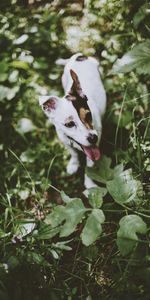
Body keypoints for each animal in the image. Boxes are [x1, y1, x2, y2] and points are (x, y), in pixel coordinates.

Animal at [38, 51, 106, 188]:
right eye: (69, 124)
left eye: (89, 115)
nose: (93, 138)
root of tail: (80, 55)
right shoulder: (64, 140)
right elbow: (73, 153)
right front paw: (73, 164)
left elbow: (89, 166)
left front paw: (89, 184)